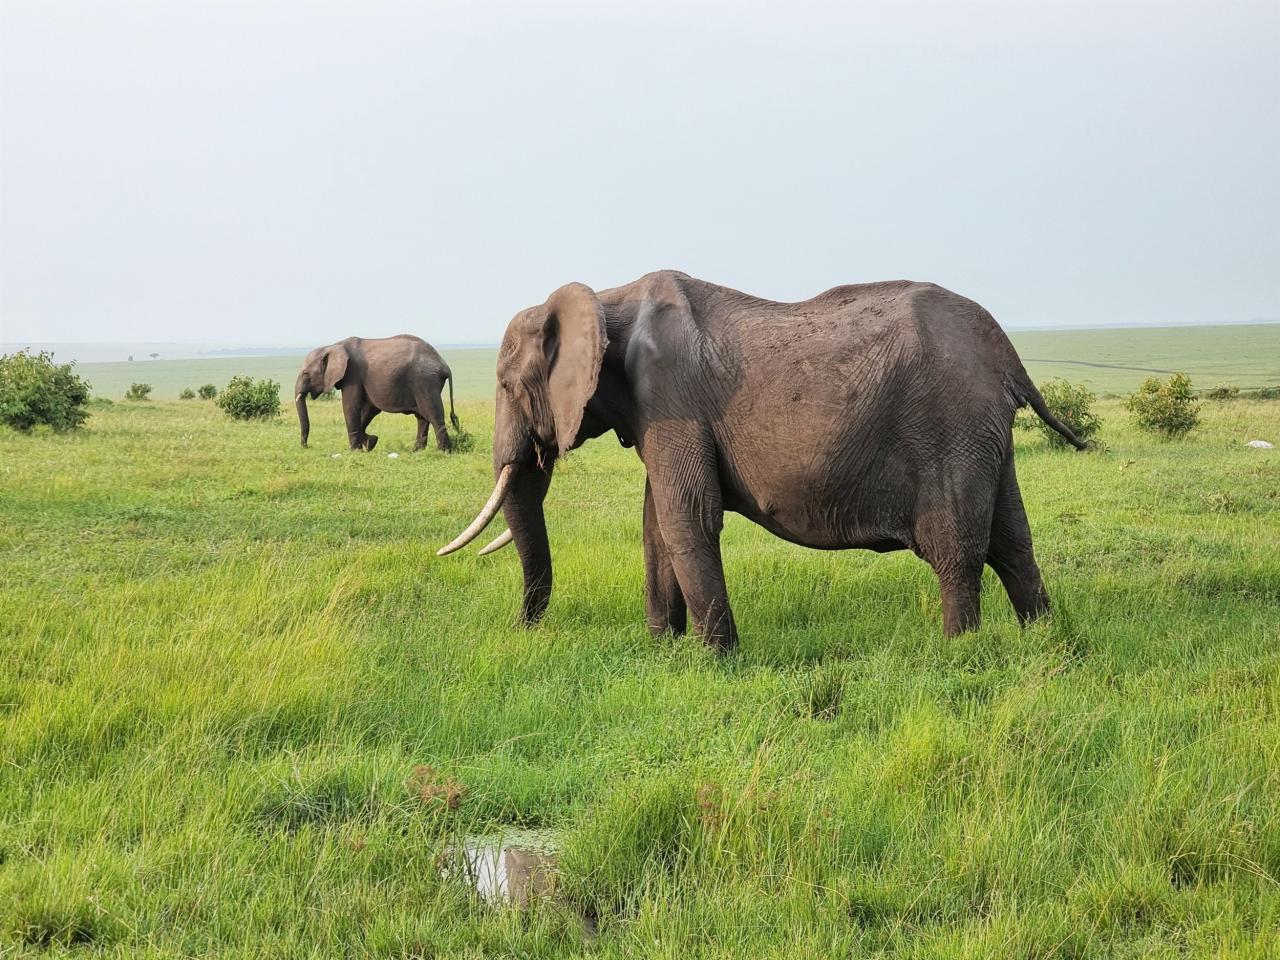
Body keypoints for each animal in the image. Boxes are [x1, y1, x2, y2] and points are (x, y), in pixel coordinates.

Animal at [294, 335, 460, 455]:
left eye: (306, 374)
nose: (306, 446)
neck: (333, 345)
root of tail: (444, 364)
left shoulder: (352, 375)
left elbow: (350, 406)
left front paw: (354, 450)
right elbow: (369, 409)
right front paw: (370, 443)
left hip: (425, 380)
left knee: (433, 414)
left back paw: (444, 452)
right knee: (422, 417)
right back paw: (416, 451)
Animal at [437, 267, 1080, 650]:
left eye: (506, 385)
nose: (523, 631)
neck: (606, 297)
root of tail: (1008, 352)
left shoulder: (672, 397)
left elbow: (686, 517)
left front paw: (713, 661)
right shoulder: (658, 413)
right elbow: (656, 524)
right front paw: (662, 650)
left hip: (950, 427)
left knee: (956, 551)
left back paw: (959, 654)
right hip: (985, 434)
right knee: (1013, 542)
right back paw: (1045, 644)